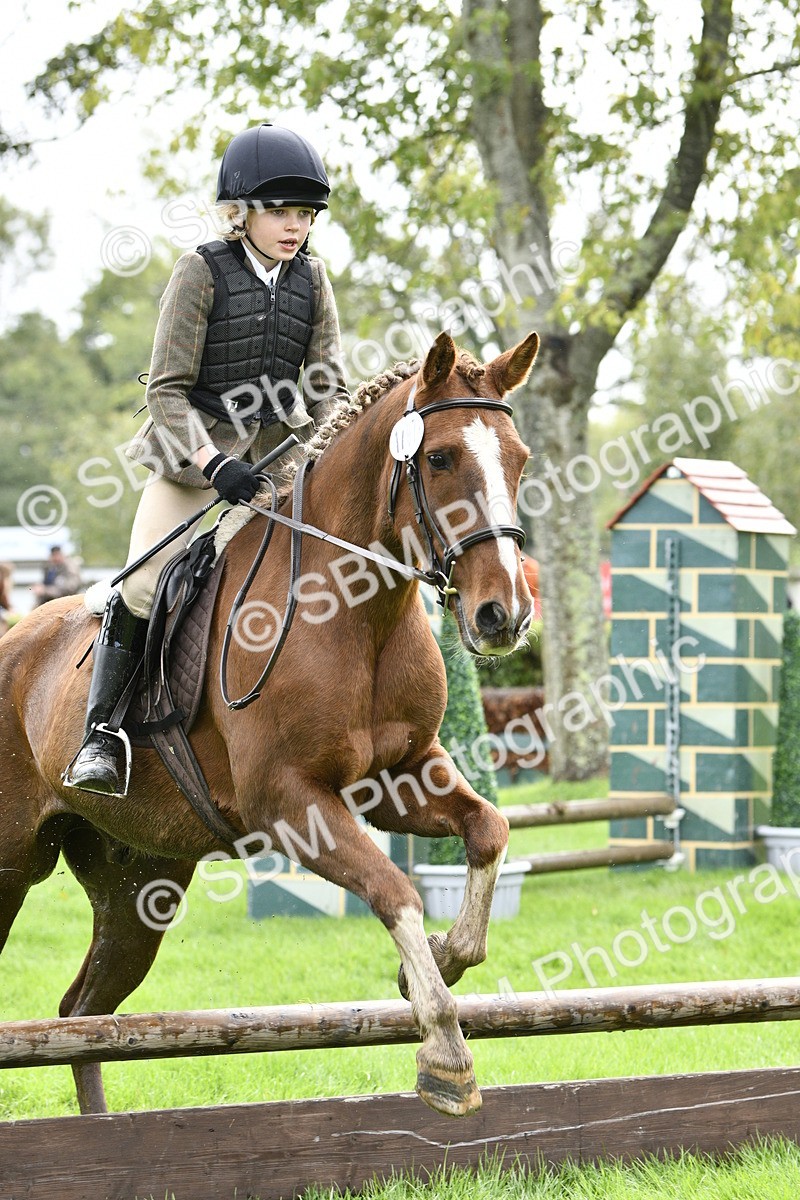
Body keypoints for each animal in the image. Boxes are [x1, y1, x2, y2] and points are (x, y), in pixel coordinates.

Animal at [0, 329, 539, 1119]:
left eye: (518, 457)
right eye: (440, 458)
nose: (505, 615)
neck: (353, 612)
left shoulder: (399, 778)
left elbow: (489, 830)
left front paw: (440, 963)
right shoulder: (288, 803)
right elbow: (396, 892)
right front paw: (446, 1056)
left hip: (138, 881)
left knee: (83, 1013)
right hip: (12, 861)